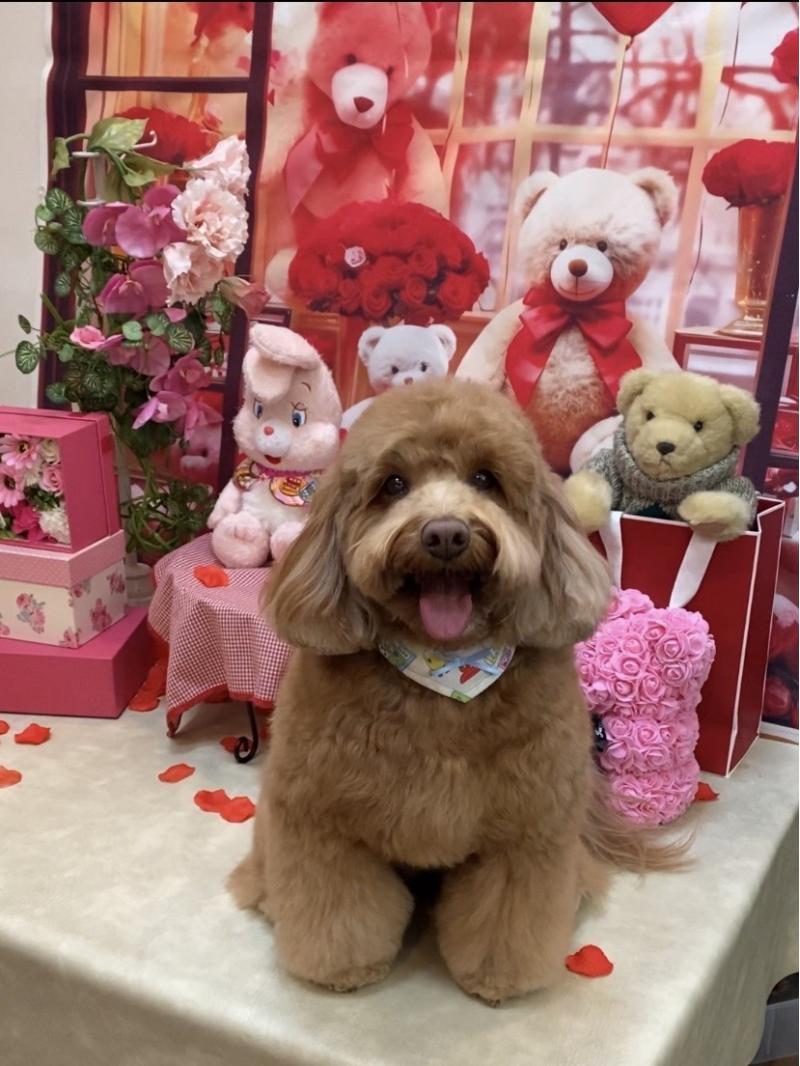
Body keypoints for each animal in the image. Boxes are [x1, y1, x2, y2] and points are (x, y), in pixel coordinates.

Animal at [229, 377, 680, 1003]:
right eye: (393, 484)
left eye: (486, 479)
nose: (445, 534)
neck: (442, 680)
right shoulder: (320, 823)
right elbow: (339, 909)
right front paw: (345, 969)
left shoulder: (528, 833)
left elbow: (505, 917)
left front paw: (497, 979)